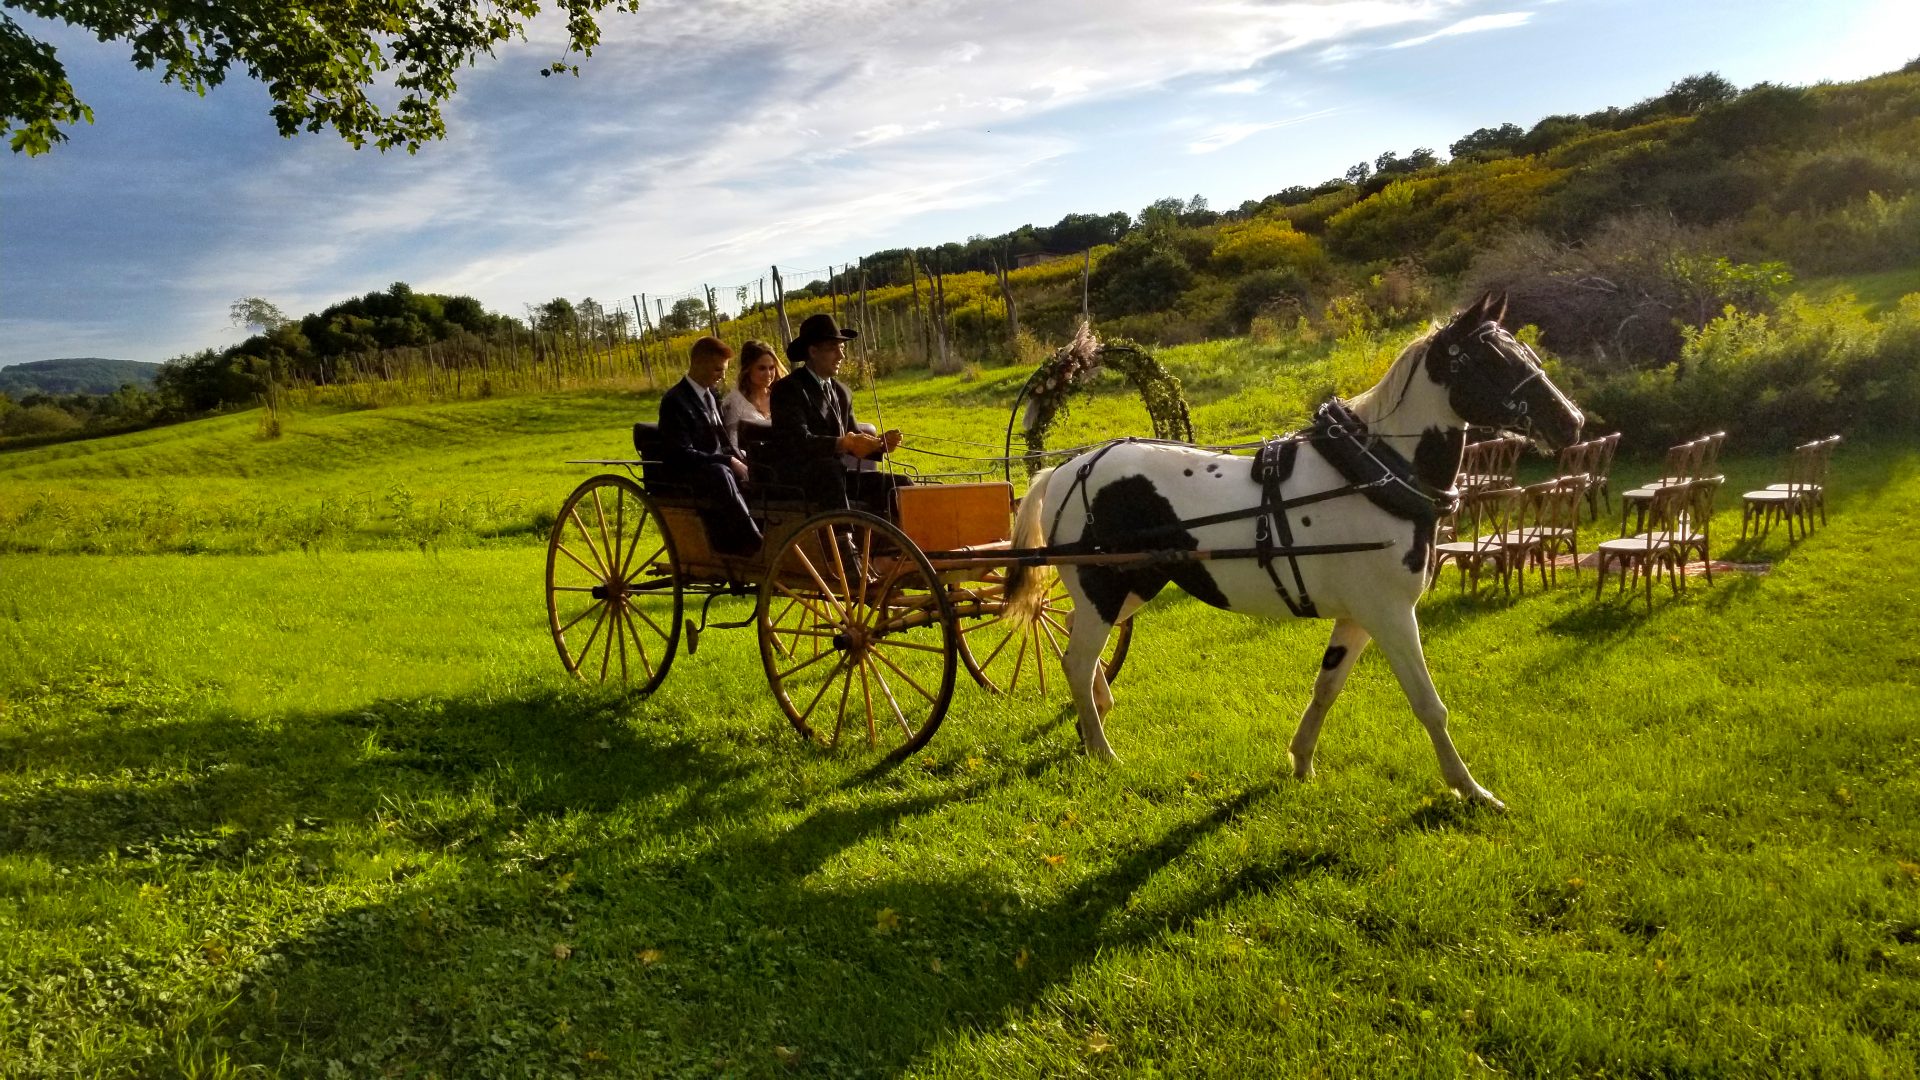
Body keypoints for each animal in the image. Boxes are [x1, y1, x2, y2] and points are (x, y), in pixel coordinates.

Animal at [998, 294, 1582, 807]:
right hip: (1105, 588)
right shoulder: (1391, 614)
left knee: (1072, 639)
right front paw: (1472, 790)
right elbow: (1428, 705)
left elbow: (1326, 689)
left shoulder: (1358, 618)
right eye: (1492, 360)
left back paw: (1096, 712)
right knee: (1077, 660)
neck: (1372, 475)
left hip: (1135, 585)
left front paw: (1301, 761)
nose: (1572, 422)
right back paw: (1102, 750)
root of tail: (1066, 469)